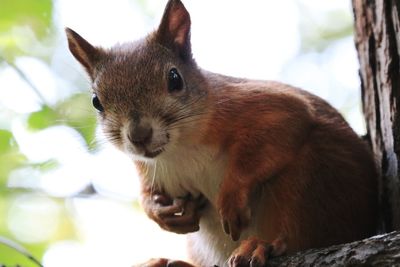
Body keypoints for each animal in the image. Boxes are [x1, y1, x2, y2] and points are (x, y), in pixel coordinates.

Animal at [65, 0, 378, 266]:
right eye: (96, 101)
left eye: (174, 78)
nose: (139, 136)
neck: (179, 149)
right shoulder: (147, 167)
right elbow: (147, 194)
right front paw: (159, 213)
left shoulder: (262, 107)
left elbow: (281, 126)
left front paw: (230, 197)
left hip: (313, 179)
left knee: (297, 231)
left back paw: (261, 246)